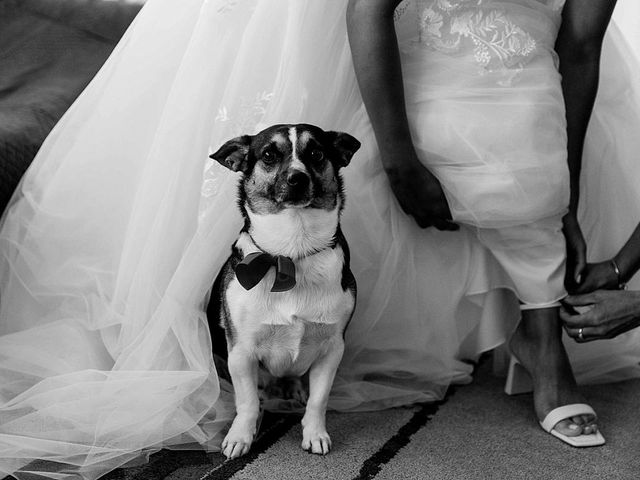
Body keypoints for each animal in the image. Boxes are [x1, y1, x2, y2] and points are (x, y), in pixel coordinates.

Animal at [210, 123, 360, 458]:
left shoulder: (333, 348)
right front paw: (240, 436)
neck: (291, 253)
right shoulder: (241, 351)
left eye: (316, 153)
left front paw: (315, 434)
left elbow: (319, 399)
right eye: (269, 155)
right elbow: (247, 402)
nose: (297, 178)